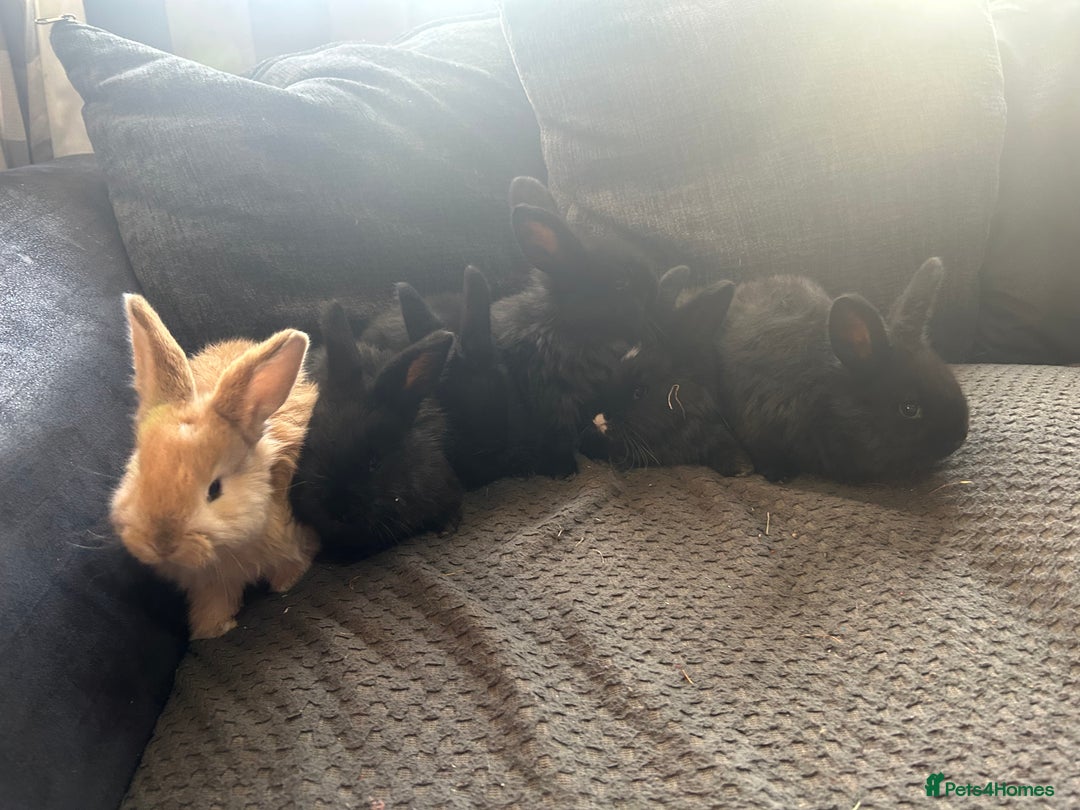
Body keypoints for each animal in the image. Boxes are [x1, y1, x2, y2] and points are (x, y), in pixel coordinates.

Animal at [109, 295, 319, 639]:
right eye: (140, 471)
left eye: (215, 489)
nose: (162, 543)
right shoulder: (210, 582)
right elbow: (214, 601)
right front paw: (211, 629)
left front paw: (286, 583)